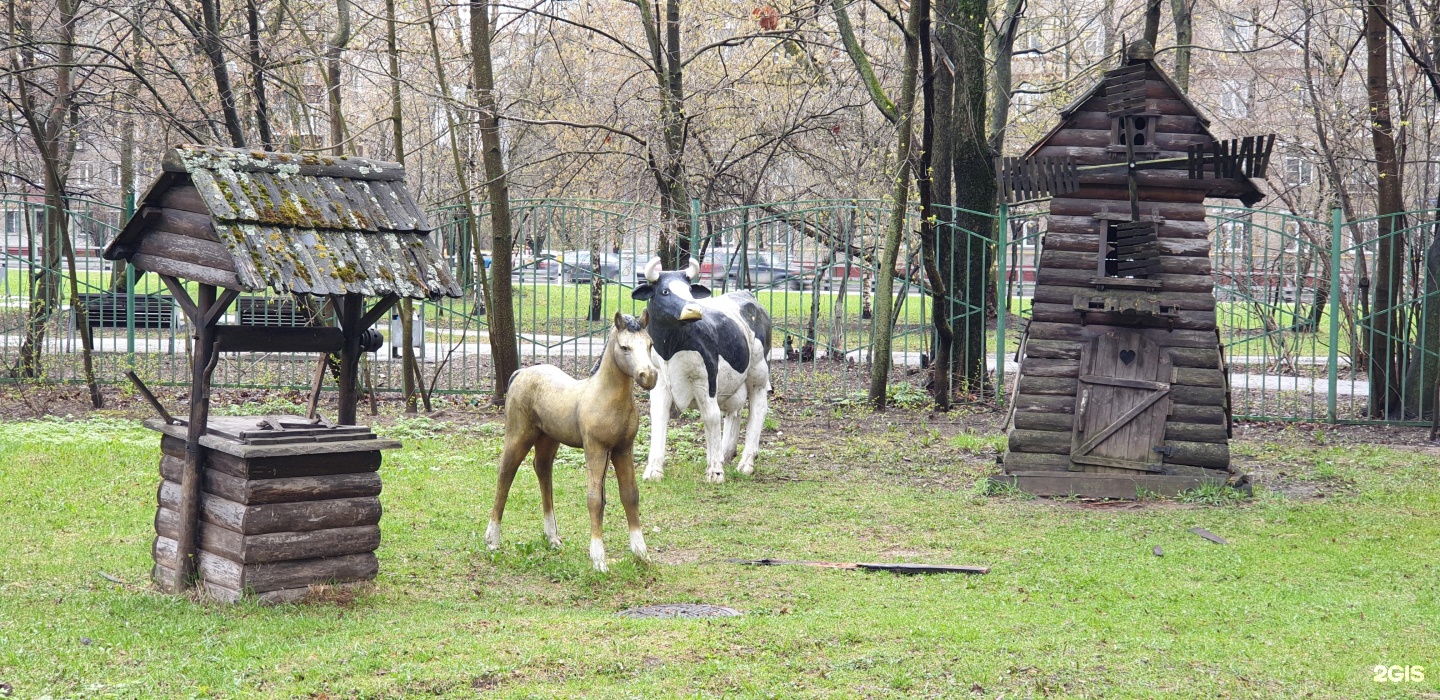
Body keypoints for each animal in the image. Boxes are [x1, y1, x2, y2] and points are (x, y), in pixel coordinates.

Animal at [486, 309, 659, 567]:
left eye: (650, 344)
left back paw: (552, 538)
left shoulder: (623, 448)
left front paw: (641, 553)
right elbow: (595, 499)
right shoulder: (595, 448)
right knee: (505, 474)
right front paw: (598, 560)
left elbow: (630, 495)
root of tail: (521, 373)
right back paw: (492, 540)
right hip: (518, 435)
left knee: (542, 470)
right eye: (624, 347)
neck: (604, 397)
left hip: (548, 439)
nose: (649, 376)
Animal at [633, 256, 771, 481]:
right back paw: (725, 454)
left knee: (757, 409)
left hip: (758, 373)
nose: (694, 309)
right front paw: (653, 470)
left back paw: (746, 463)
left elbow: (711, 416)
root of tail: (747, 294)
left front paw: (715, 472)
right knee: (735, 412)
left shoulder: (706, 380)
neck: (672, 348)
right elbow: (659, 416)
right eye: (665, 291)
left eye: (689, 290)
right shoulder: (660, 382)